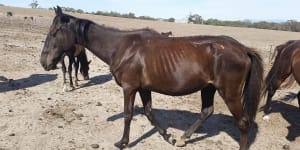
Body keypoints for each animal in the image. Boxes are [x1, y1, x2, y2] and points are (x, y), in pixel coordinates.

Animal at [39, 6, 262, 150]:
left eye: (54, 32)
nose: (44, 62)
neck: (121, 47)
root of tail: (243, 49)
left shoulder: (129, 88)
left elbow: (128, 115)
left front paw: (123, 143)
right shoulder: (143, 88)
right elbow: (149, 113)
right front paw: (168, 137)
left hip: (230, 93)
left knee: (243, 123)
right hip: (208, 87)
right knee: (206, 112)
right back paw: (182, 139)